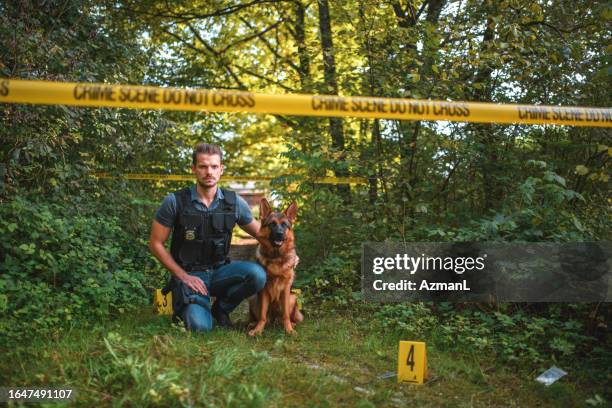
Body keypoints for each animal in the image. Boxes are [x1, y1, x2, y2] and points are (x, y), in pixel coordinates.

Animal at [249, 199, 304, 336]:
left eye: (284, 225)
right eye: (272, 224)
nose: (279, 234)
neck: (276, 257)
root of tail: (273, 319)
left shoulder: (285, 290)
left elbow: (286, 315)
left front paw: (289, 330)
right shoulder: (264, 291)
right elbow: (262, 315)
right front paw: (258, 330)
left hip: (292, 298)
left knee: (285, 317)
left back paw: (291, 324)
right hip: (253, 299)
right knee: (263, 317)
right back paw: (253, 323)